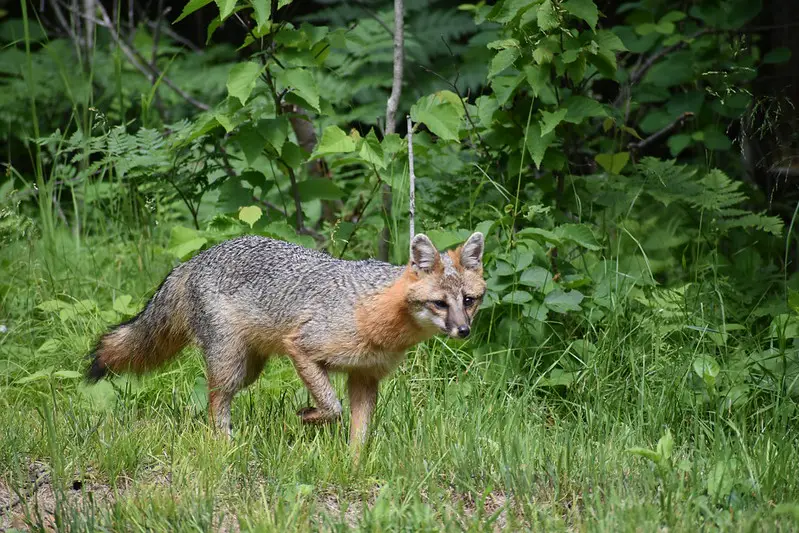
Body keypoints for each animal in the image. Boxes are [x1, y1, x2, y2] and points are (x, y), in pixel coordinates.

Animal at [87, 233, 488, 444]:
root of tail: (195, 259)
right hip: (231, 366)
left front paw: (355, 466)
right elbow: (332, 407)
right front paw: (306, 416)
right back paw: (225, 444)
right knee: (216, 402)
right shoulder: (303, 348)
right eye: (440, 303)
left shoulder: (364, 376)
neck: (373, 310)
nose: (463, 331)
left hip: (249, 370)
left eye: (469, 301)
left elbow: (359, 432)